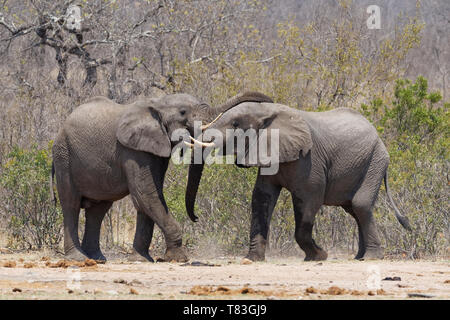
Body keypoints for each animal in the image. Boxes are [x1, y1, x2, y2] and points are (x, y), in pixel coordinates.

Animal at [51, 91, 272, 262]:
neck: (157, 102)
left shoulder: (155, 148)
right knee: (71, 204)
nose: (196, 217)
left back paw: (97, 258)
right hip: (63, 155)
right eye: (182, 112)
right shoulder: (131, 149)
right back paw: (78, 259)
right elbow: (146, 193)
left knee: (98, 209)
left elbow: (149, 195)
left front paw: (141, 260)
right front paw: (177, 258)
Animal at [184, 99, 412, 262]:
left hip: (375, 161)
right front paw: (252, 259)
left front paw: (319, 256)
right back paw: (359, 257)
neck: (269, 111)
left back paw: (371, 258)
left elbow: (309, 200)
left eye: (235, 124)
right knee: (354, 210)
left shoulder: (309, 160)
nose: (196, 218)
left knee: (361, 205)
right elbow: (261, 198)